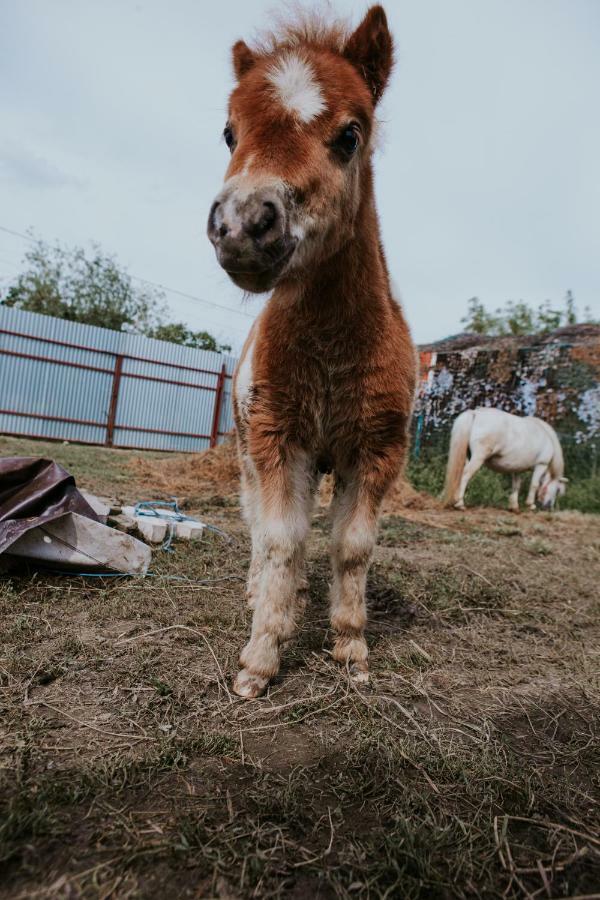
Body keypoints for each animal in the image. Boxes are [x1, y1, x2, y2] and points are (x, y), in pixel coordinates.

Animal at [209, 3, 414, 700]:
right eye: (228, 133)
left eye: (350, 135)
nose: (242, 225)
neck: (329, 352)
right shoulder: (279, 439)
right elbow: (278, 540)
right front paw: (258, 659)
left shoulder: (377, 448)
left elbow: (350, 546)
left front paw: (351, 650)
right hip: (248, 447)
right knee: (255, 524)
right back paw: (259, 595)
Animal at [440, 410, 568, 512]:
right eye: (557, 490)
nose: (549, 508)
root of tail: (475, 413)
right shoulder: (541, 465)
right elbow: (534, 485)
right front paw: (530, 505)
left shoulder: (517, 469)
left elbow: (516, 485)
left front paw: (514, 507)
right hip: (478, 458)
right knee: (465, 475)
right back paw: (460, 504)